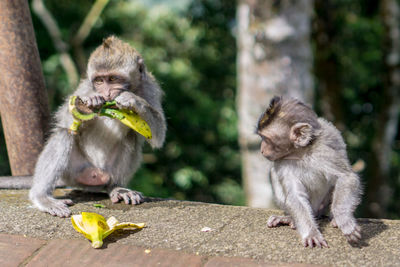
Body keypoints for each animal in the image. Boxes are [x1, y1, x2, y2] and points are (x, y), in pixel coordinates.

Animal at [0, 36, 166, 219]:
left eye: (113, 79)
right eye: (99, 81)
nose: (106, 94)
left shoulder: (150, 88)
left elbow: (158, 135)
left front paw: (132, 99)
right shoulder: (86, 87)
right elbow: (63, 119)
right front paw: (87, 104)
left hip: (105, 172)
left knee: (131, 138)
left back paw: (116, 187)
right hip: (74, 170)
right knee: (64, 134)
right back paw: (42, 197)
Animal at [256, 96, 362, 249]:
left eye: (267, 139)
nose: (262, 149)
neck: (301, 153)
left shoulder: (323, 152)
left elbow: (346, 177)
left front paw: (344, 220)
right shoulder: (282, 163)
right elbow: (295, 195)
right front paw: (311, 233)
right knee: (273, 174)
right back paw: (289, 218)